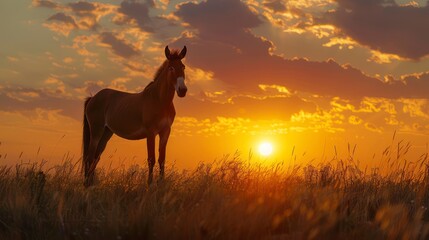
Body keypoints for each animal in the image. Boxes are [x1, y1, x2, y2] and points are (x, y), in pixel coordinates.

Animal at [82, 45, 186, 188]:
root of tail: (93, 98)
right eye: (171, 68)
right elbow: (151, 159)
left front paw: (161, 185)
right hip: (96, 131)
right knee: (90, 157)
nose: (183, 90)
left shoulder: (165, 132)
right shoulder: (151, 133)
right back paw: (87, 185)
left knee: (96, 157)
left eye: (183, 67)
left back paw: (91, 184)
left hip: (106, 133)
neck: (159, 100)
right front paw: (150, 185)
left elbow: (162, 159)